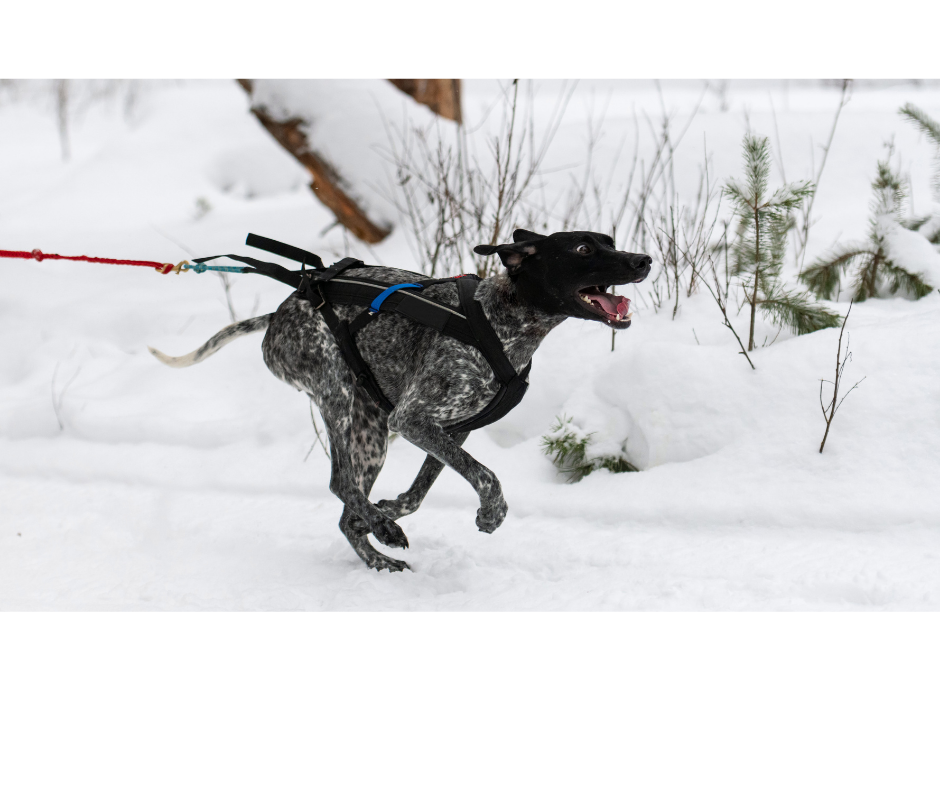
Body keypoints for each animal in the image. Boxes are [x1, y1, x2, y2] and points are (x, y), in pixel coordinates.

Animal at [152, 228, 652, 572]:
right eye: (584, 250)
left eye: (610, 240)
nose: (643, 258)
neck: (501, 323)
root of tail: (279, 312)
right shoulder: (413, 419)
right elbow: (487, 476)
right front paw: (491, 513)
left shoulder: (450, 429)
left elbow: (419, 492)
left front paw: (388, 508)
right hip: (347, 405)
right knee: (340, 484)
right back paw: (382, 535)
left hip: (371, 426)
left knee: (346, 508)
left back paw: (376, 543)